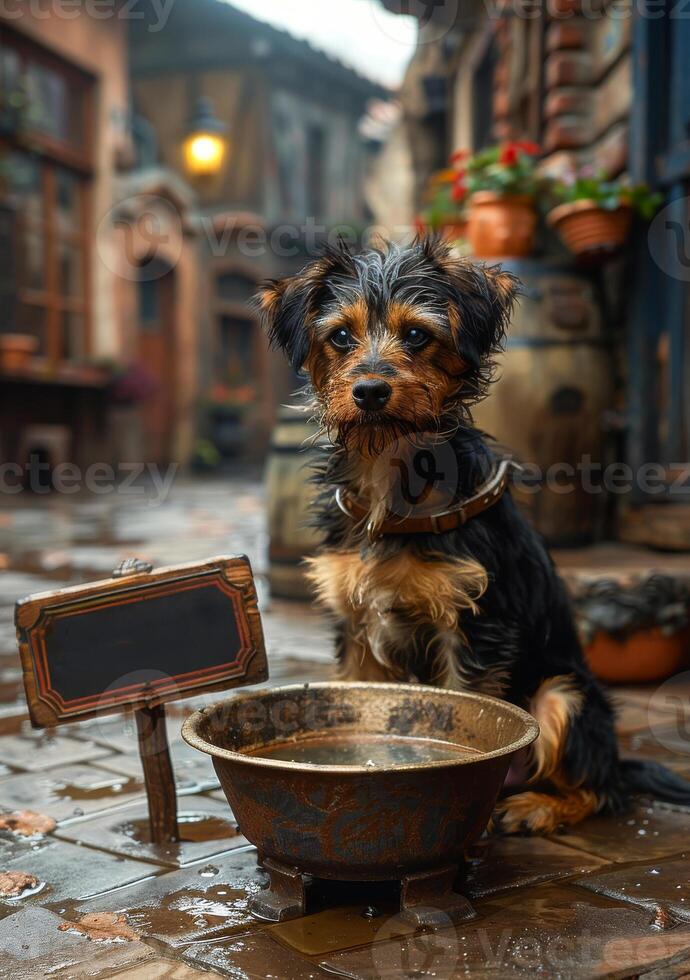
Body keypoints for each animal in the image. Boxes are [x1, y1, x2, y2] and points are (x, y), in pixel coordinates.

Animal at [256, 239, 688, 836]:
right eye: (340, 336)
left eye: (417, 335)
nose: (369, 391)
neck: (392, 470)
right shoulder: (357, 628)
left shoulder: (475, 628)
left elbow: (467, 713)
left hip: (564, 694)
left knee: (600, 790)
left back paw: (535, 808)